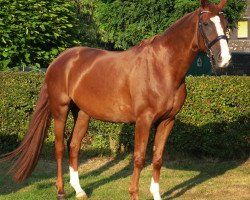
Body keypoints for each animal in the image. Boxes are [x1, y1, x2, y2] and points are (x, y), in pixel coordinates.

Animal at [0, 0, 230, 200]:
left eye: (226, 24)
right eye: (206, 23)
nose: (225, 60)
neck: (162, 67)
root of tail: (59, 60)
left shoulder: (167, 121)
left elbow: (157, 159)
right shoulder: (144, 120)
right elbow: (139, 158)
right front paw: (134, 194)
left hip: (82, 113)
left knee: (73, 145)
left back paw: (79, 191)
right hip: (60, 109)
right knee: (59, 148)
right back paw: (61, 191)